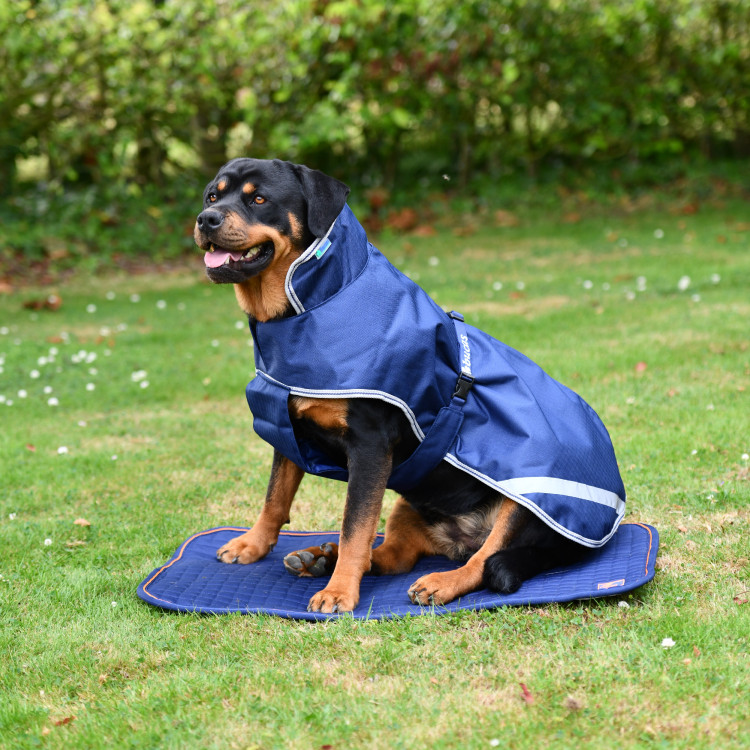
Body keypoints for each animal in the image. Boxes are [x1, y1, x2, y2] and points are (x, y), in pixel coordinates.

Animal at [195, 159, 592, 616]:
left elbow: (354, 524)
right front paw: (253, 545)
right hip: (409, 500)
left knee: (483, 559)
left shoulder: (370, 446)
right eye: (212, 195)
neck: (311, 306)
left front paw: (338, 593)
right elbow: (276, 496)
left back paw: (439, 581)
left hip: (523, 502)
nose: (206, 219)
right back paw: (320, 557)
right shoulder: (288, 424)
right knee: (395, 554)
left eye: (259, 199)